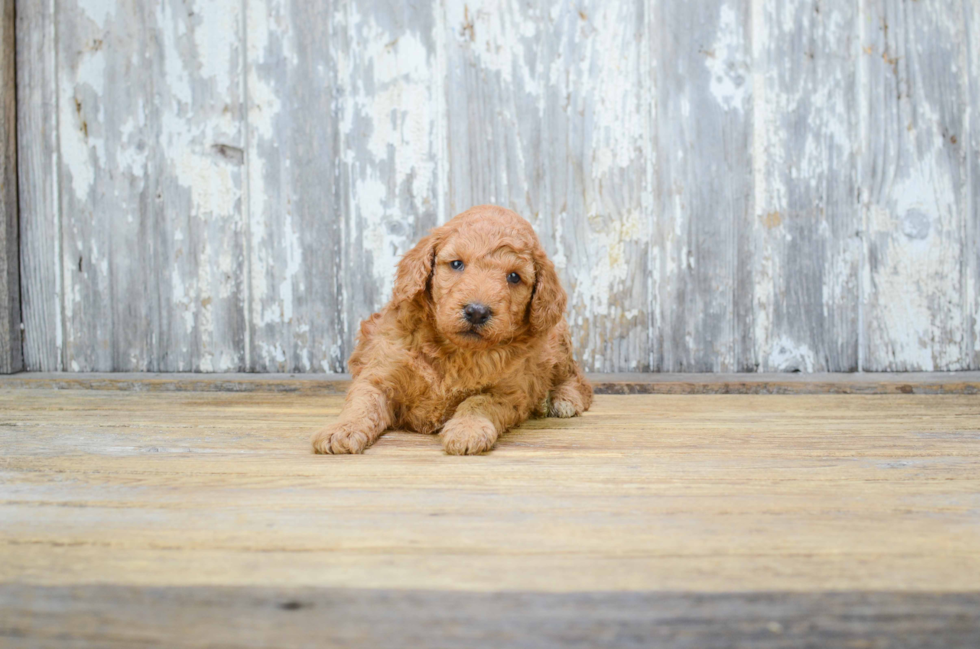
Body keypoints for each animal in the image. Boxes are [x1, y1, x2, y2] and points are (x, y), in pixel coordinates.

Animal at [310, 205, 592, 454]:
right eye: (457, 264)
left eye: (514, 277)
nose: (477, 311)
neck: (455, 351)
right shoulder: (379, 374)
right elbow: (362, 403)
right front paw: (341, 430)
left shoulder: (510, 391)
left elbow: (478, 401)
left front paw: (467, 430)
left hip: (557, 343)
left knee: (577, 378)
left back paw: (562, 399)